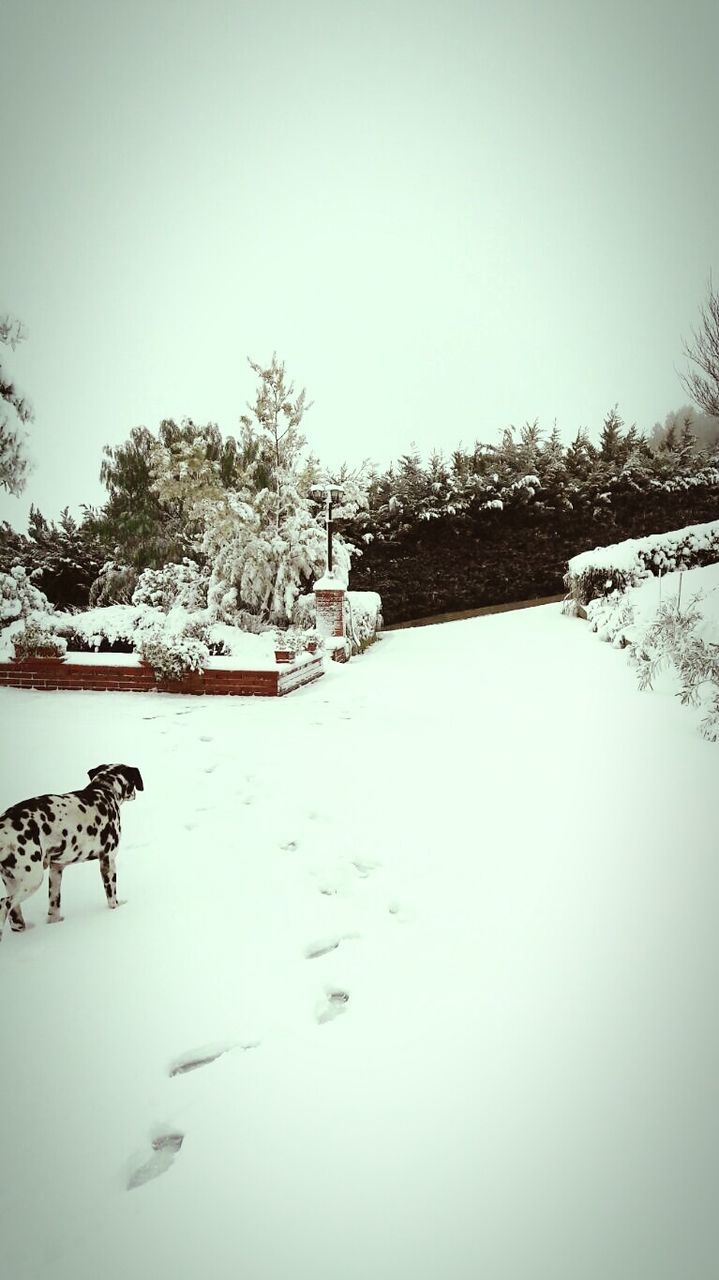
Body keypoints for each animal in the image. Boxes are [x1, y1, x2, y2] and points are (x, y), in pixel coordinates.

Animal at [0, 762, 143, 947]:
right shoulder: (108, 860)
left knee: (15, 917)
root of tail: (3, 826)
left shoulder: (56, 869)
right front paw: (116, 910)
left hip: (12, 883)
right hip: (32, 880)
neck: (104, 790)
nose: (135, 794)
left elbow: (54, 908)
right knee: (3, 904)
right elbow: (112, 897)